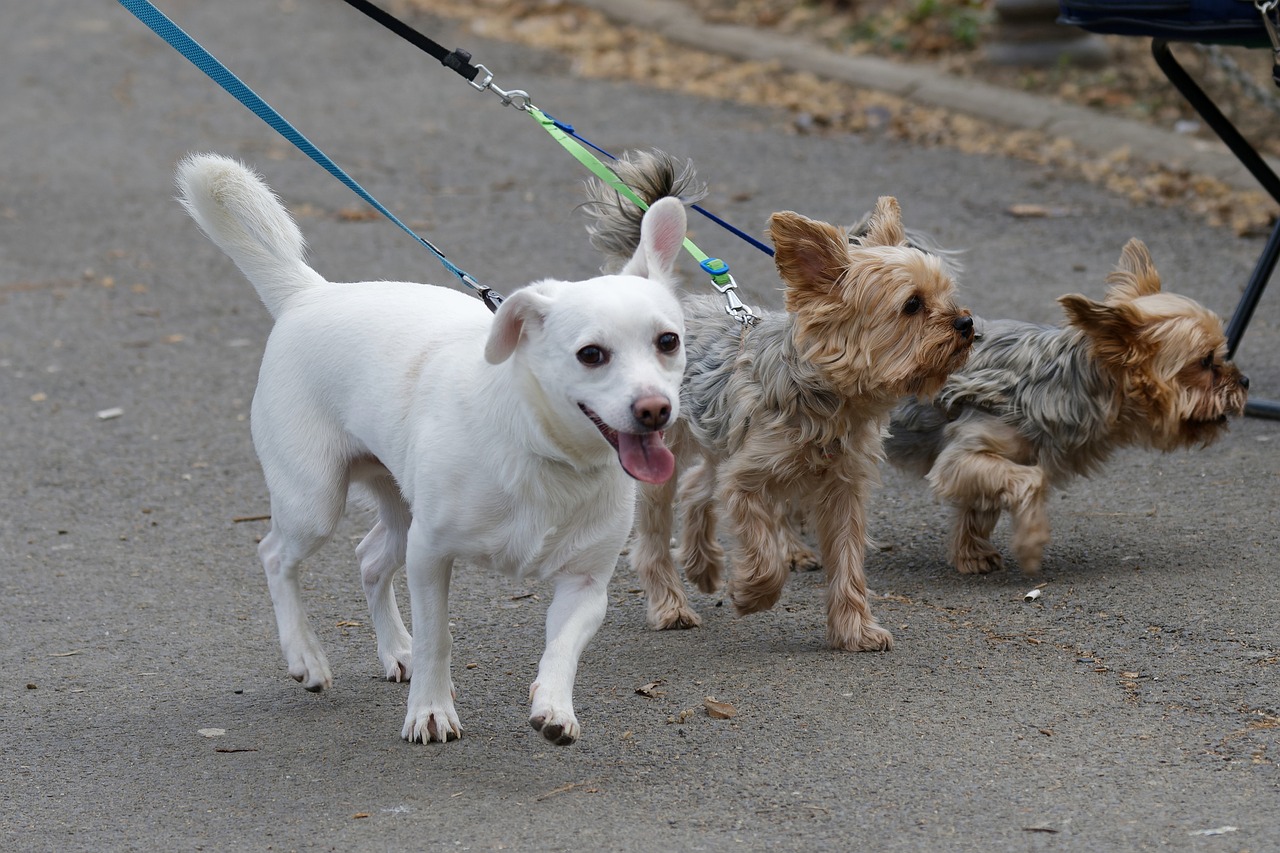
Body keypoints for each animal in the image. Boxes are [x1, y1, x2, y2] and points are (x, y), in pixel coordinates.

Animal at [177, 154, 691, 742]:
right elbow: (437, 638)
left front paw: (555, 707)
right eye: (591, 354)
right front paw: (430, 711)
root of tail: (310, 293)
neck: (542, 450)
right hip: (315, 505)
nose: (654, 409)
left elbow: (562, 650)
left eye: (668, 341)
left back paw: (394, 649)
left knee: (369, 559)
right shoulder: (430, 555)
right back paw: (306, 656)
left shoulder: (585, 586)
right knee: (274, 555)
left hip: (400, 511)